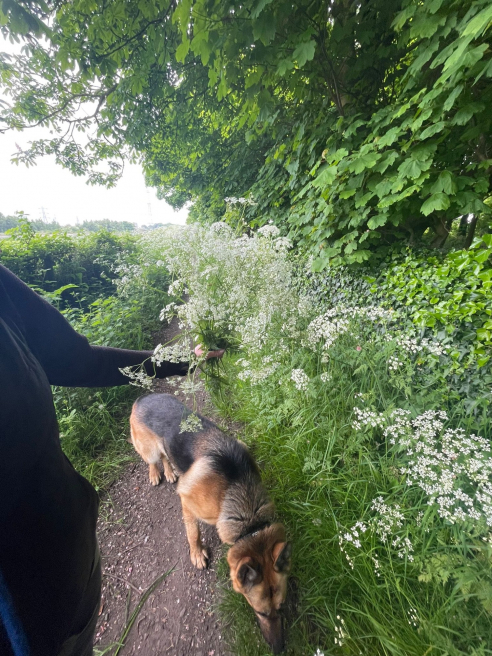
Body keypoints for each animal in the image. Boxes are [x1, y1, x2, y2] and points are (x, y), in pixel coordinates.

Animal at [131, 392, 292, 652]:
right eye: (260, 612)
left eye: (280, 607)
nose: (279, 649)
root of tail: (142, 397)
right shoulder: (187, 501)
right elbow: (193, 533)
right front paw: (197, 553)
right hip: (148, 450)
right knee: (153, 459)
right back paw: (156, 473)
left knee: (166, 456)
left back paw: (170, 471)